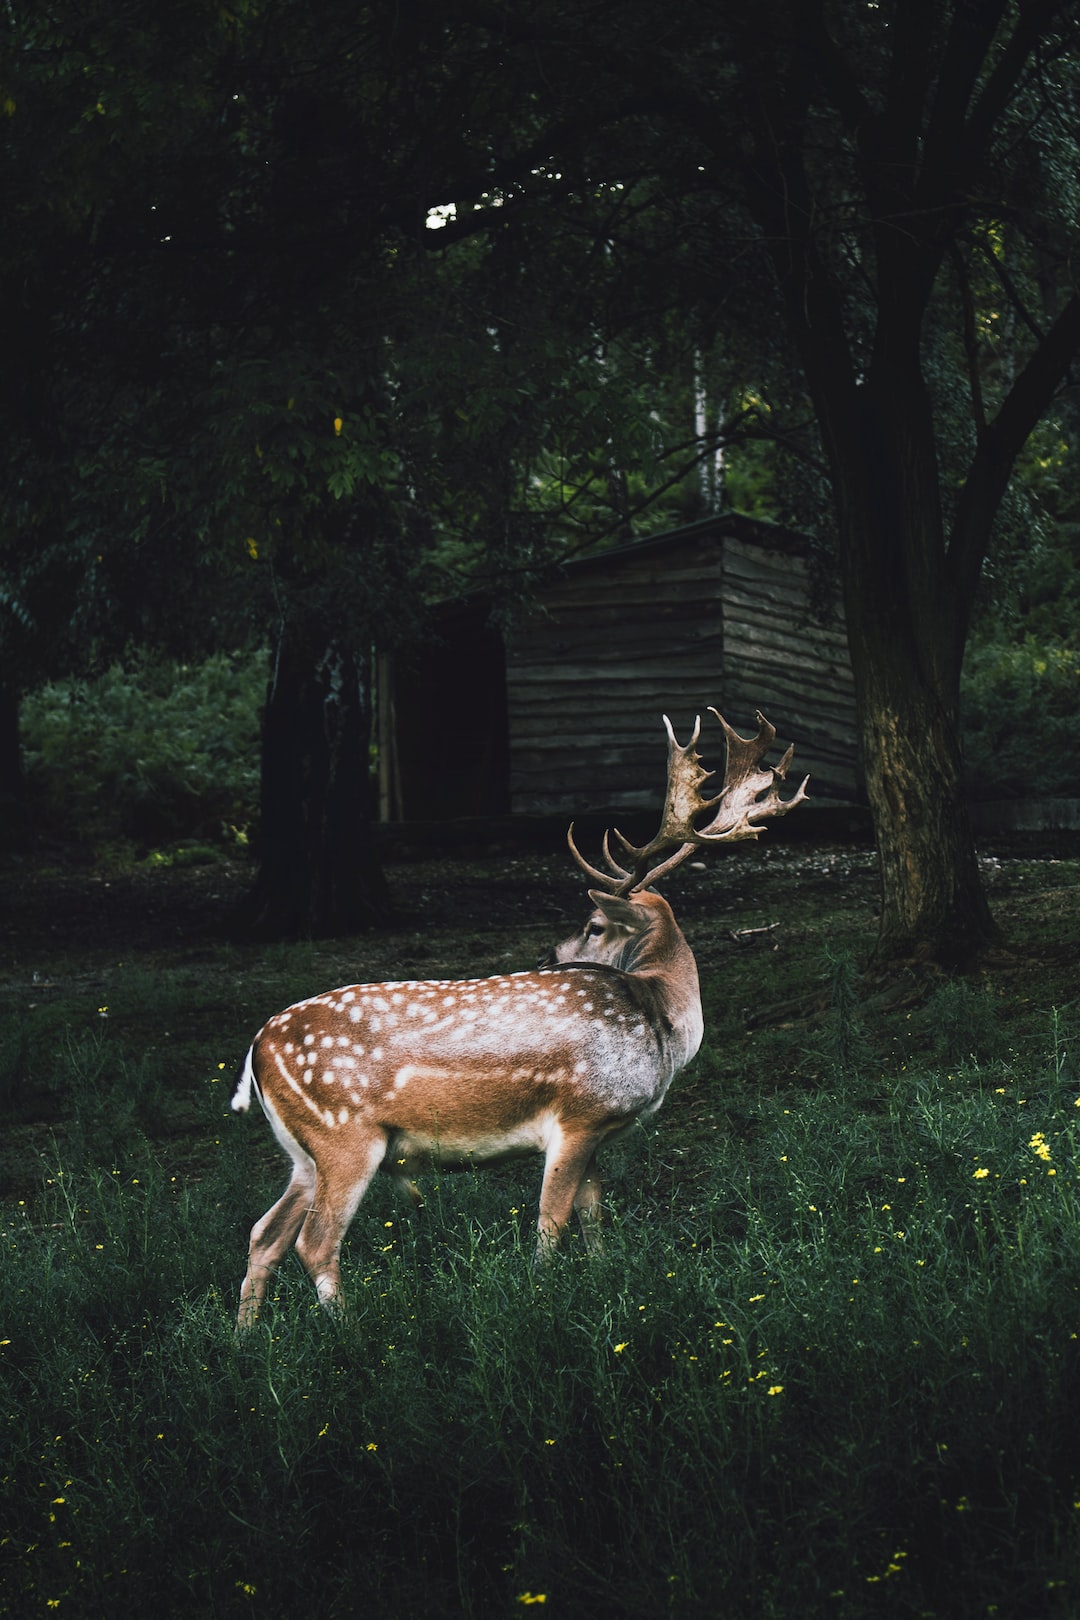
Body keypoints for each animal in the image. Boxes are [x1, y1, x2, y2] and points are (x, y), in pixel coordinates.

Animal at [229, 709, 803, 1328]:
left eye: (594, 926)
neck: (661, 1026)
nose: (550, 957)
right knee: (315, 1242)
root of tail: (256, 1050)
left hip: (303, 1153)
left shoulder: (597, 1132)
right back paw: (348, 1332)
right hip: (343, 1135)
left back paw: (246, 1338)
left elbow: (593, 1218)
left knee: (264, 1234)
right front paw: (540, 1300)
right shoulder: (580, 1114)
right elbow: (551, 1224)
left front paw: (604, 1283)